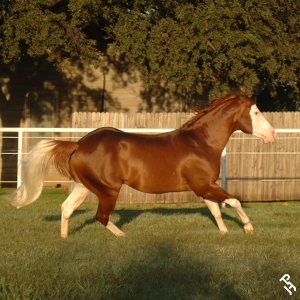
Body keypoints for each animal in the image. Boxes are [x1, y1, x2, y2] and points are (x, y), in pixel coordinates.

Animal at [7, 92, 276, 238]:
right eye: (256, 112)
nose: (272, 134)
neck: (201, 142)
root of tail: (79, 143)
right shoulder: (204, 185)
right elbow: (234, 201)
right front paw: (248, 228)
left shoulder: (204, 187)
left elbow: (215, 210)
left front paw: (224, 232)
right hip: (109, 190)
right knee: (100, 216)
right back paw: (123, 235)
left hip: (85, 186)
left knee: (66, 208)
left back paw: (64, 238)